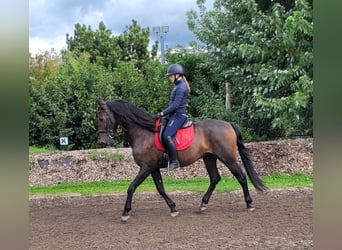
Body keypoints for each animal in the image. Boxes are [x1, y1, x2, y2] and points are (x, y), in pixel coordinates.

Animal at [97, 99, 268, 221]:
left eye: (101, 118)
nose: (103, 142)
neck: (142, 132)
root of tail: (228, 124)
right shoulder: (153, 168)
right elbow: (160, 189)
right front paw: (173, 208)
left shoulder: (146, 167)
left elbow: (131, 187)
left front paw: (125, 212)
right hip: (209, 158)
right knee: (214, 178)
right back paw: (203, 204)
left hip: (227, 157)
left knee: (241, 177)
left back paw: (249, 203)